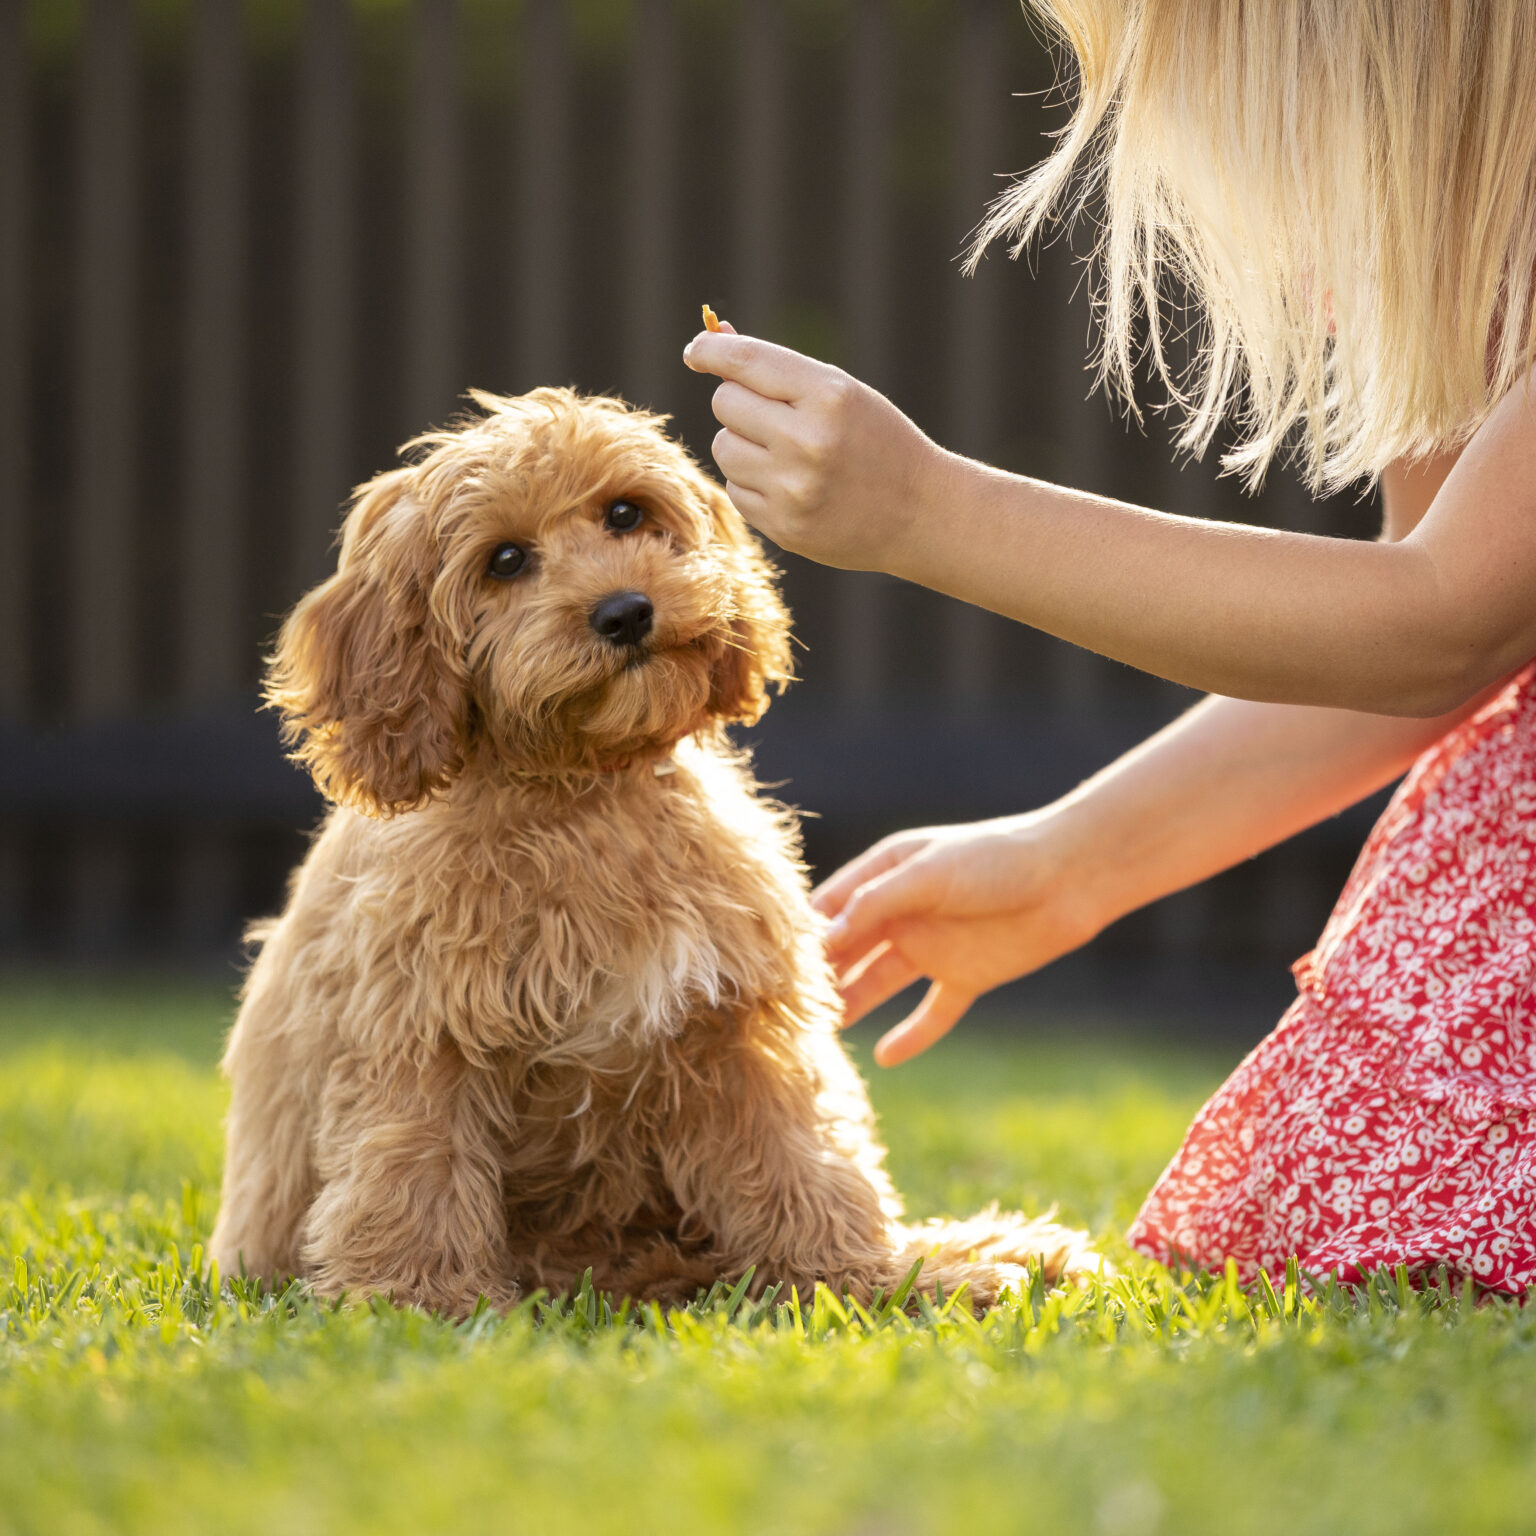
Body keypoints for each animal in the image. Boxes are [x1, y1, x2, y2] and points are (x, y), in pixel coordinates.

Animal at [210, 390, 1093, 1314]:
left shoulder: (732, 1025)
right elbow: (413, 1168)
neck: (586, 793)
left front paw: (863, 1279)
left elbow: (800, 1161)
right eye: (505, 561)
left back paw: (983, 1257)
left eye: (625, 513)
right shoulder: (421, 1029)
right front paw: (420, 1303)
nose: (625, 612)